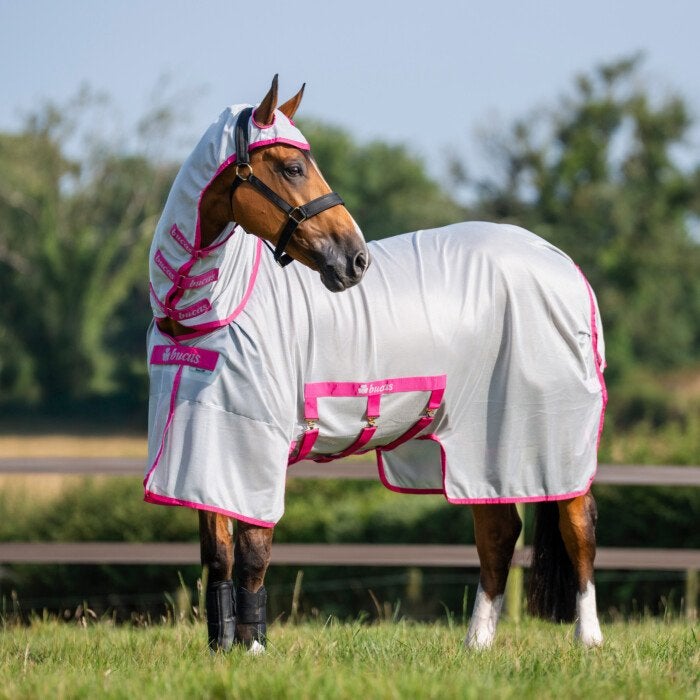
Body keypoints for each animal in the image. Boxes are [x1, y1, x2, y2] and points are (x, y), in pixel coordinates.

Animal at [145, 76, 607, 654]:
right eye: (292, 167)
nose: (355, 259)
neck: (211, 309)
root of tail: (561, 261)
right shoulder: (207, 450)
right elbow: (218, 558)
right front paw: (221, 648)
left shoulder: (253, 448)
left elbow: (252, 554)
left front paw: (253, 649)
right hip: (480, 448)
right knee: (498, 535)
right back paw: (477, 643)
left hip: (547, 435)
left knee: (577, 528)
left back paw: (588, 638)